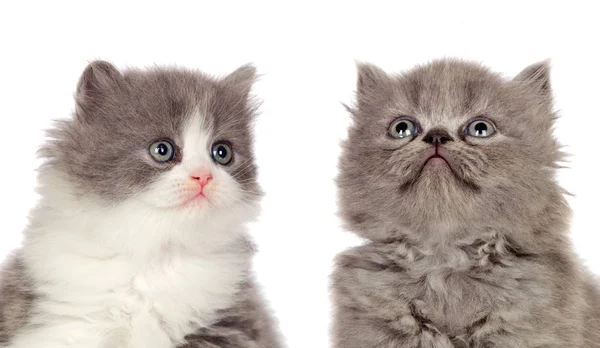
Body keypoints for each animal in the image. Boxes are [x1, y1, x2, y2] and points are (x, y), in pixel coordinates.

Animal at [0, 61, 282, 348]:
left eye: (222, 153)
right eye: (162, 150)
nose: (203, 176)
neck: (154, 257)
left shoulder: (232, 323)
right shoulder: (61, 323)